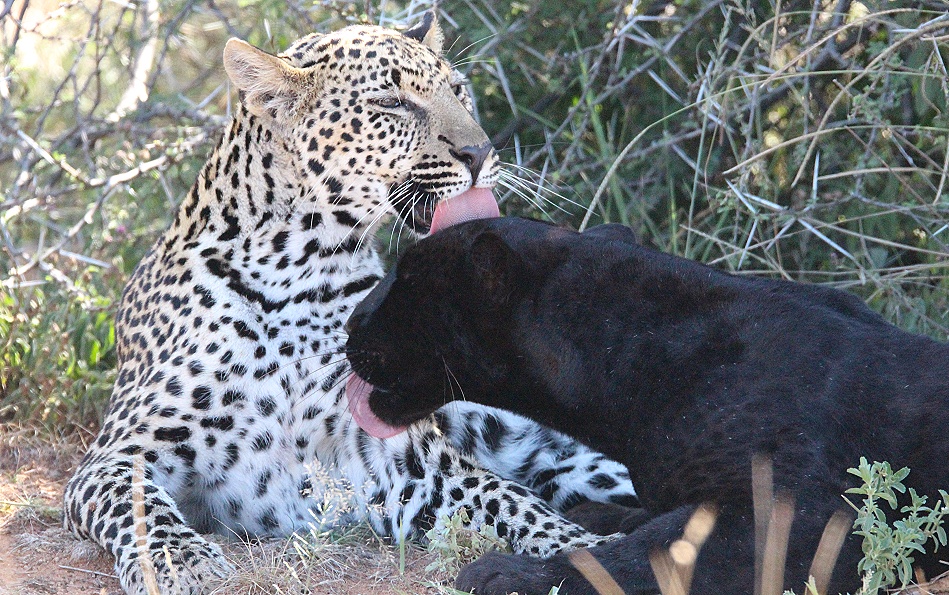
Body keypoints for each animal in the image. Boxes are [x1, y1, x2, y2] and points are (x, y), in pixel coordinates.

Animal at [62, 14, 638, 595]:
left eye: (457, 91)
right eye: (392, 102)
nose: (481, 153)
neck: (302, 266)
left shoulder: (397, 457)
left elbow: (505, 496)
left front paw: (580, 550)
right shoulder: (118, 451)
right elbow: (139, 504)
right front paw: (181, 561)